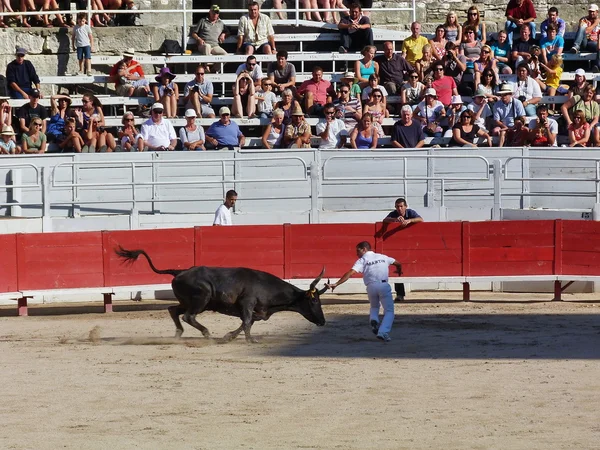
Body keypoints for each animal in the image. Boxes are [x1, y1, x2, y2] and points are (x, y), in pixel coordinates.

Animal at [112, 246, 328, 342]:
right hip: (202, 299)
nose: (323, 322)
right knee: (188, 316)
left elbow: (248, 322)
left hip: (191, 301)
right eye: (314, 301)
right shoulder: (247, 304)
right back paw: (206, 333)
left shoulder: (257, 311)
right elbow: (247, 322)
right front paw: (246, 339)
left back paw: (179, 334)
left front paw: (230, 336)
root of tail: (179, 272)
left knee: (173, 309)